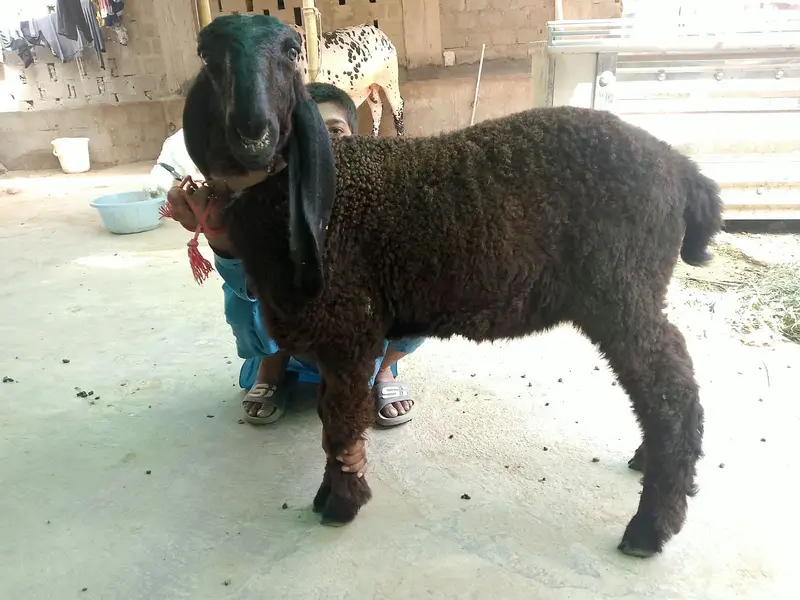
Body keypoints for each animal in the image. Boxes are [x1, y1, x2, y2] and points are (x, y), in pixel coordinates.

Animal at [182, 14, 723, 558]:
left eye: (292, 51)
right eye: (207, 53)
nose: (254, 131)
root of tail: (680, 169)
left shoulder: (349, 326)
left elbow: (338, 420)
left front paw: (340, 503)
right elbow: (332, 416)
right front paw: (330, 493)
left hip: (622, 287)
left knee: (672, 389)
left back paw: (650, 525)